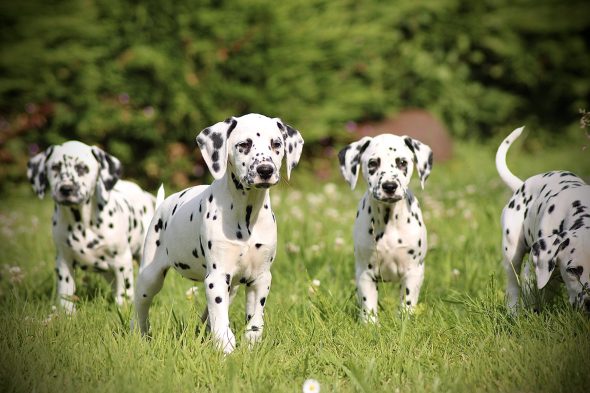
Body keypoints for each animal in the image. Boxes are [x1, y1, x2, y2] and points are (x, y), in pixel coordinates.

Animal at [26, 141, 160, 312]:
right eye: (55, 167)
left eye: (83, 168)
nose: (66, 189)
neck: (81, 223)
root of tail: (143, 192)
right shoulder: (63, 261)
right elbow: (66, 292)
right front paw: (67, 313)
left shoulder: (122, 261)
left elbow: (125, 292)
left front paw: (124, 308)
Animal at [135, 112, 306, 352]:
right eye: (244, 145)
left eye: (276, 144)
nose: (265, 170)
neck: (246, 213)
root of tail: (163, 204)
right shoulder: (216, 277)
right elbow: (221, 320)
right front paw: (226, 349)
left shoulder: (261, 278)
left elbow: (254, 321)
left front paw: (251, 347)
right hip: (150, 276)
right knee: (141, 307)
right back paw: (139, 335)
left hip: (230, 287)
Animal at [338, 133, 434, 320]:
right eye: (373, 163)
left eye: (402, 162)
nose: (389, 186)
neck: (389, 219)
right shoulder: (365, 273)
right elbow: (368, 305)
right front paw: (370, 323)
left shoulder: (413, 272)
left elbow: (406, 302)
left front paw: (404, 322)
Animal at [500, 125, 590, 312]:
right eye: (573, 270)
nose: (589, 303)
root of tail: (521, 185)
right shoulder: (536, 272)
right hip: (512, 251)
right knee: (513, 283)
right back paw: (513, 311)